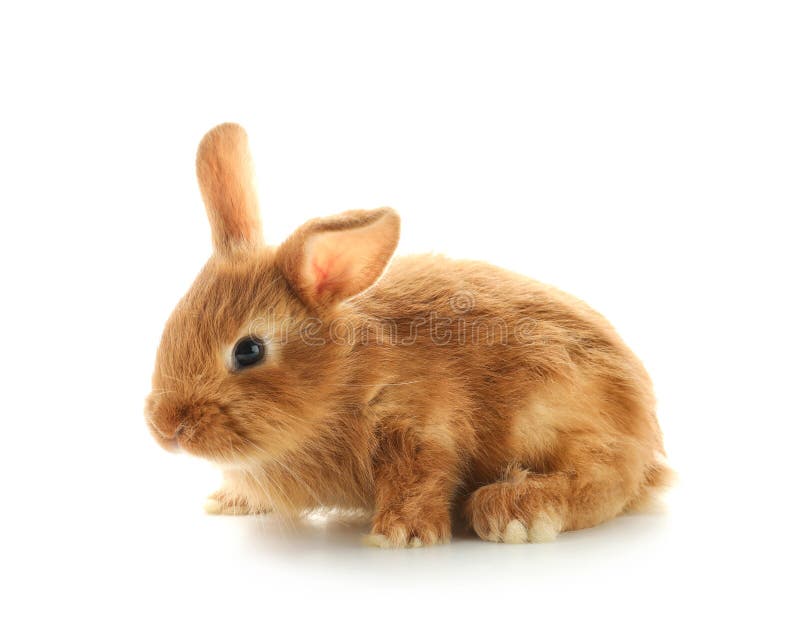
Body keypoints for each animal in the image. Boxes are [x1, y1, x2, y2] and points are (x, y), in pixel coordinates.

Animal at [144, 123, 668, 548]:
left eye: (248, 351)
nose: (166, 427)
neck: (344, 371)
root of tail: (648, 437)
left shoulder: (421, 423)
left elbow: (421, 476)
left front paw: (400, 536)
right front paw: (227, 501)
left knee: (604, 480)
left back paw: (514, 512)